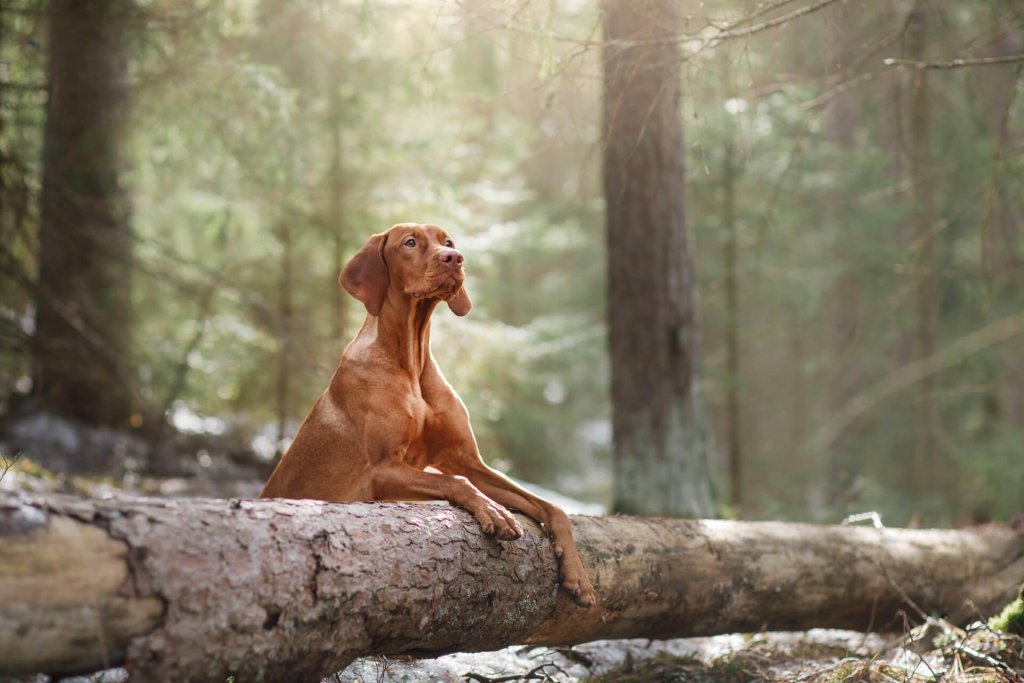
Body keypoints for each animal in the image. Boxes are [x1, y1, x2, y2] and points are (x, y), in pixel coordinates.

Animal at [264, 222, 598, 606]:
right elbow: (456, 482)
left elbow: (550, 506)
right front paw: (493, 511)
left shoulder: (467, 460)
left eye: (447, 241)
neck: (411, 359)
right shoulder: (382, 469)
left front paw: (579, 576)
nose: (455, 257)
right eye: (410, 242)